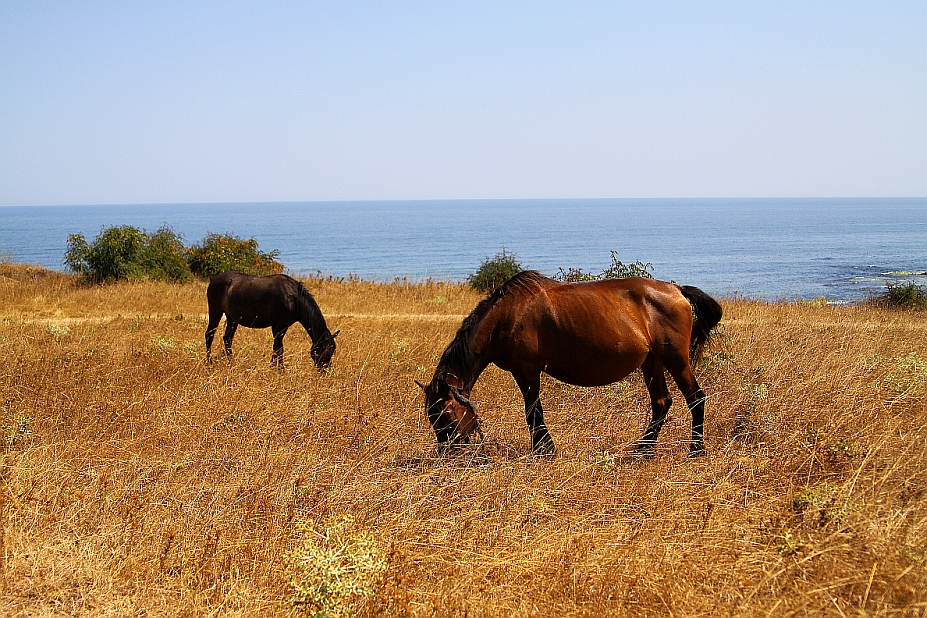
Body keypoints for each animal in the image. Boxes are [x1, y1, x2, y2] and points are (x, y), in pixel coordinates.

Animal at [205, 270, 338, 370]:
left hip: (232, 319)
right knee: (209, 335)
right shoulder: (277, 326)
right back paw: (209, 364)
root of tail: (213, 280)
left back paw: (231, 363)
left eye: (332, 350)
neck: (293, 298)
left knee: (227, 339)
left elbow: (277, 348)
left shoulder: (283, 326)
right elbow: (279, 348)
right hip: (216, 312)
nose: (325, 370)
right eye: (325, 350)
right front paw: (279, 370)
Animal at [418, 270, 724, 458]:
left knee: (696, 398)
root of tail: (677, 290)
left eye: (445, 415)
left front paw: (543, 449)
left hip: (675, 359)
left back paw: (696, 449)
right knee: (661, 403)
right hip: (652, 363)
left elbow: (533, 412)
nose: (448, 454)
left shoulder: (527, 370)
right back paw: (643, 450)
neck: (505, 317)